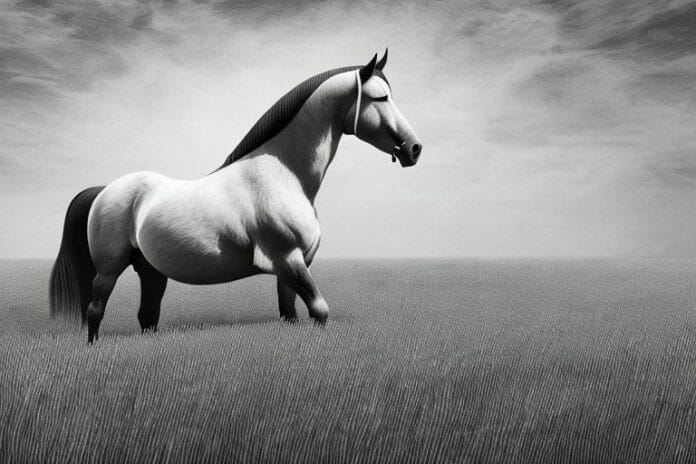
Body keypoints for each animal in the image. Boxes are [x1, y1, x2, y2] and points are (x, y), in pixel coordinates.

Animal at [49, 50, 423, 343]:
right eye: (380, 98)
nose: (414, 149)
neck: (283, 174)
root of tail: (104, 191)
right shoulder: (288, 260)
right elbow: (320, 311)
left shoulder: (289, 269)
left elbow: (290, 315)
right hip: (109, 269)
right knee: (96, 310)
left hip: (151, 271)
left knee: (147, 317)